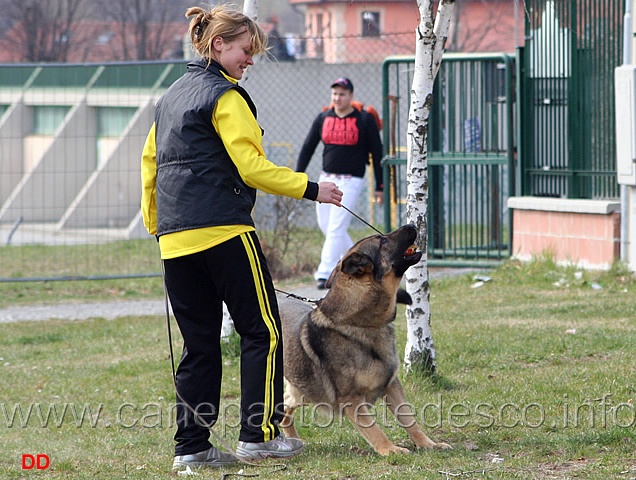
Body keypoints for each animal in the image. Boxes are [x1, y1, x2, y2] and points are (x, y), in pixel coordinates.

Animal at [278, 224, 452, 454]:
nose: (412, 225)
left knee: (284, 409)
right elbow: (373, 429)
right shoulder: (352, 400)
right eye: (382, 241)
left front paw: (427, 444)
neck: (360, 323)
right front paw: (390, 450)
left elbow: (409, 419)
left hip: (305, 392)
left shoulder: (391, 386)